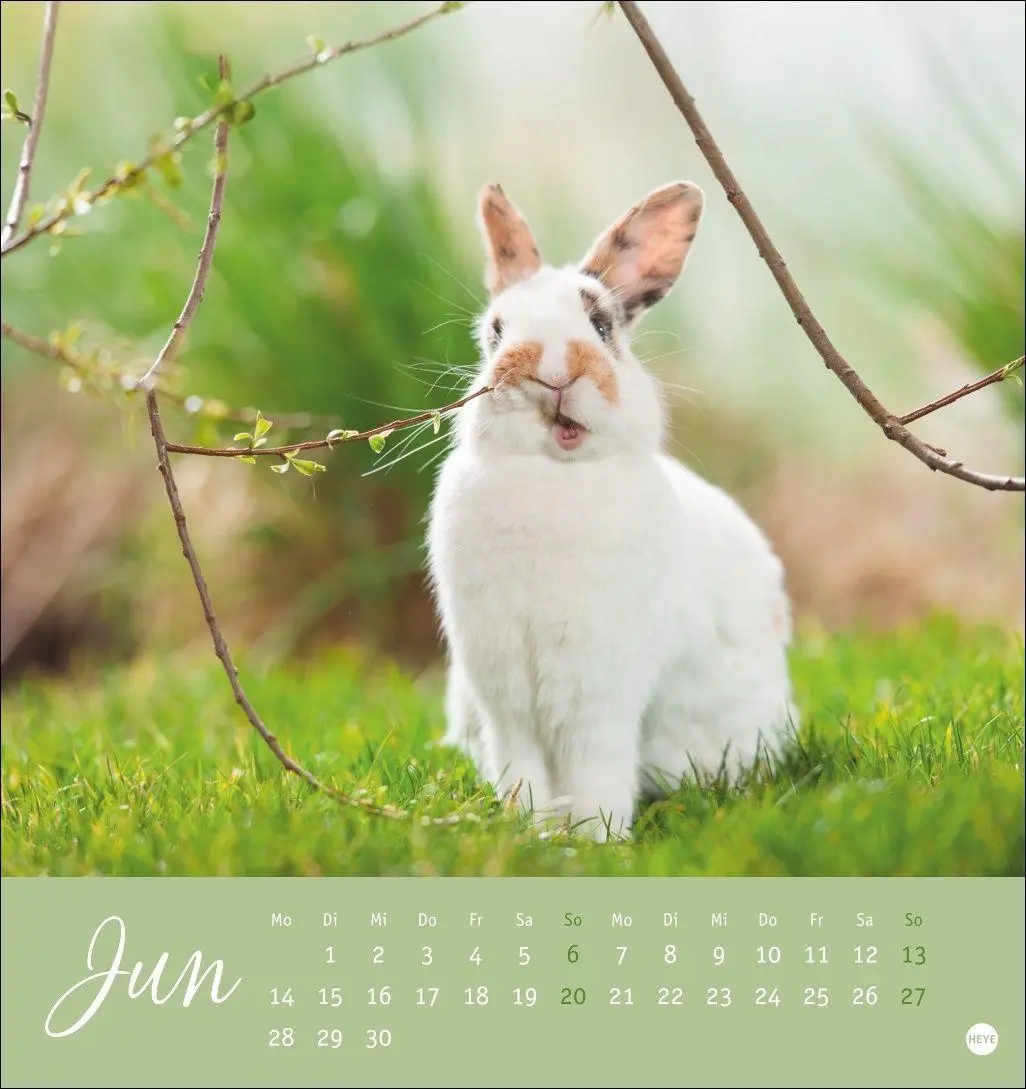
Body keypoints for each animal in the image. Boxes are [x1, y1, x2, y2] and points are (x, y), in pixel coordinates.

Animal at [426, 180, 795, 841]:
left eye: (600, 324)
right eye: (495, 332)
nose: (551, 372)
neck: (552, 474)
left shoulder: (597, 690)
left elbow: (592, 762)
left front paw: (595, 838)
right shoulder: (504, 695)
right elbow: (521, 768)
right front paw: (527, 829)